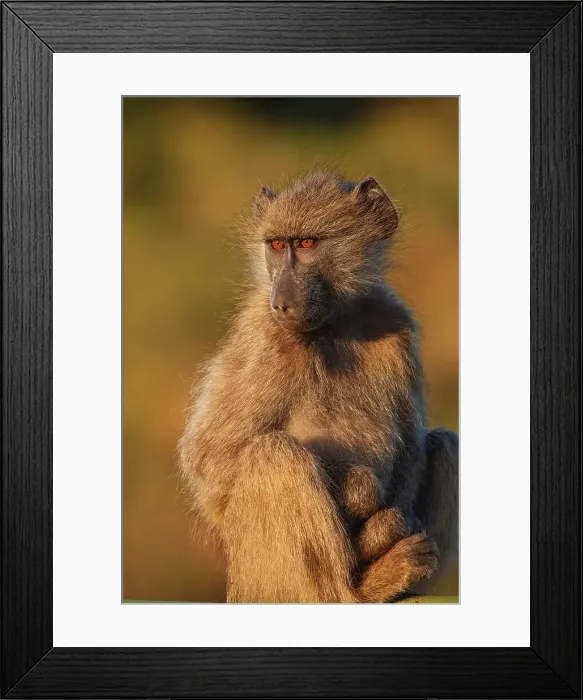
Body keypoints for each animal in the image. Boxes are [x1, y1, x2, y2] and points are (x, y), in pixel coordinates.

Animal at [178, 171, 458, 603]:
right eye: (277, 245)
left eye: (307, 244)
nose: (281, 301)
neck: (334, 323)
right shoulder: (267, 337)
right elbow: (212, 463)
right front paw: (366, 508)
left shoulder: (396, 322)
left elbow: (411, 445)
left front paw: (382, 528)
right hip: (258, 580)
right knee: (274, 455)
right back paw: (366, 587)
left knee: (444, 445)